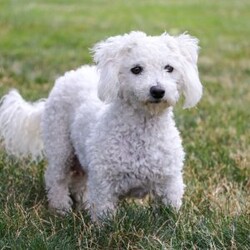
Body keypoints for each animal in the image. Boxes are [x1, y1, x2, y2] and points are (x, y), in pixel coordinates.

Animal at [0, 31, 202, 221]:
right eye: (136, 69)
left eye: (169, 68)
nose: (158, 91)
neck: (144, 127)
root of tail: (70, 75)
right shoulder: (104, 184)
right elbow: (105, 218)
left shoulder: (170, 183)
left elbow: (170, 211)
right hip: (60, 146)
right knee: (56, 178)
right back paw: (61, 209)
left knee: (79, 182)